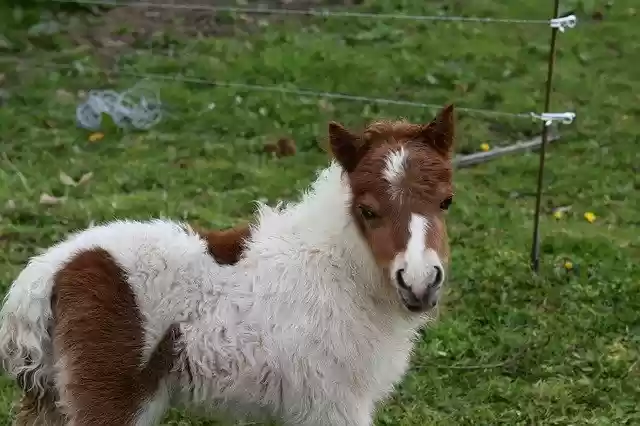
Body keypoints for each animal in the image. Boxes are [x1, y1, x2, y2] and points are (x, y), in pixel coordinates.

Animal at [0, 104, 456, 426]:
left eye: (446, 201)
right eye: (367, 210)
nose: (419, 282)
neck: (338, 272)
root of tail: (48, 272)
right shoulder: (335, 403)